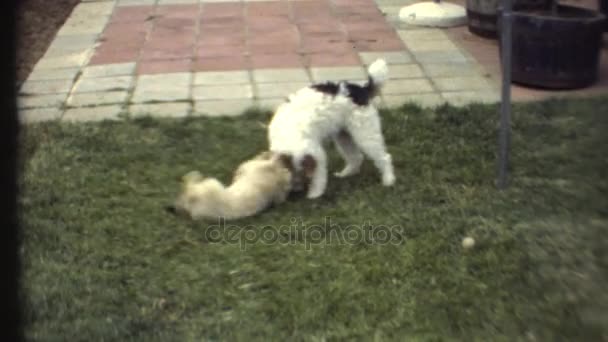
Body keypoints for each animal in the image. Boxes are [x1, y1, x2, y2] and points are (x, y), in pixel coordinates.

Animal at [268, 58, 396, 198]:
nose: (296, 190)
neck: (290, 133)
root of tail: (362, 90)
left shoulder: (317, 154)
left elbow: (319, 178)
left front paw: (314, 195)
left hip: (365, 134)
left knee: (384, 157)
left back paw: (388, 180)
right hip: (344, 136)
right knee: (356, 157)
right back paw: (345, 174)